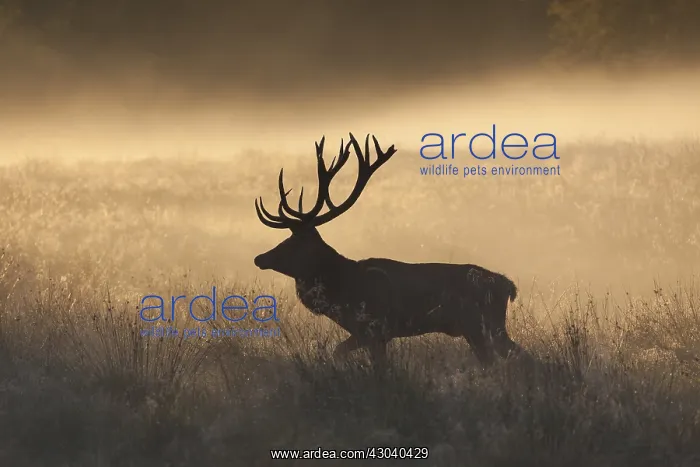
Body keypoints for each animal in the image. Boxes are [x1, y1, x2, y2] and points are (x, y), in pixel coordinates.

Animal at [253, 133, 526, 367]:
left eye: (293, 242)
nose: (259, 258)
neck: (342, 289)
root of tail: (508, 286)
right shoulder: (370, 334)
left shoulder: (374, 328)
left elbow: (362, 360)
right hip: (480, 328)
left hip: (483, 324)